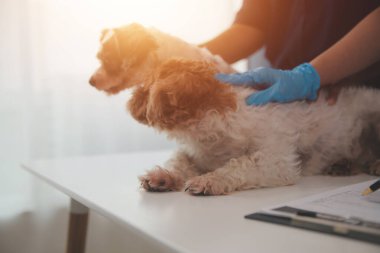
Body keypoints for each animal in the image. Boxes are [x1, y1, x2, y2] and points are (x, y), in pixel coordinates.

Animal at [90, 23, 380, 196]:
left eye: (105, 59)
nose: (91, 81)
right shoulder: (195, 153)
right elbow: (180, 161)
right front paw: (166, 177)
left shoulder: (277, 161)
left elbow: (241, 164)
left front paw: (209, 180)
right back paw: (343, 165)